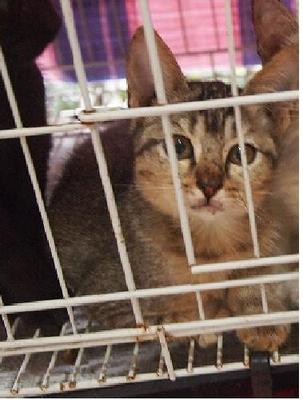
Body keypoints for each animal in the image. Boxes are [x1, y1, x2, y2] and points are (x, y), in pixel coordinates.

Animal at [50, 0, 300, 350]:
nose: (209, 186)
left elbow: (261, 275)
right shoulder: (109, 299)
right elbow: (177, 314)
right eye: (179, 146)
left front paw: (260, 313)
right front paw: (214, 317)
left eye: (242, 154)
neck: (211, 248)